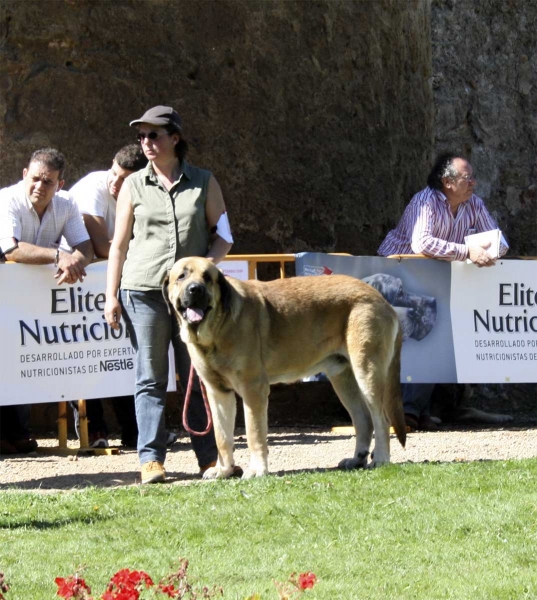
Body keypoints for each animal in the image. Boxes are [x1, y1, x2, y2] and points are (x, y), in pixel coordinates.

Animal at [165, 256, 404, 478]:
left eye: (207, 277)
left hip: (367, 371)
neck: (217, 327)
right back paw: (357, 459)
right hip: (343, 378)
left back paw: (380, 459)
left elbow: (254, 433)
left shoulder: (253, 389)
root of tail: (382, 299)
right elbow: (222, 436)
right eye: (182, 276)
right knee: (364, 420)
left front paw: (257, 470)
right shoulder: (218, 393)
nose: (195, 289)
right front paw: (223, 470)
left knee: (382, 419)